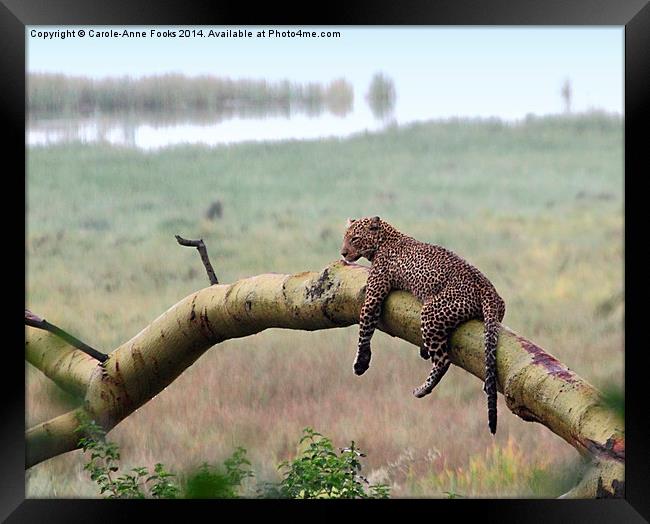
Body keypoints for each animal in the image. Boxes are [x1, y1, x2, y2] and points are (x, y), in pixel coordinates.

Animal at [342, 216, 504, 434]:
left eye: (355, 238)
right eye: (345, 237)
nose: (343, 253)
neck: (385, 239)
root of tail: (489, 290)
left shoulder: (373, 295)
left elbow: (364, 330)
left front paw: (361, 362)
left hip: (431, 311)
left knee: (443, 360)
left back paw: (422, 389)